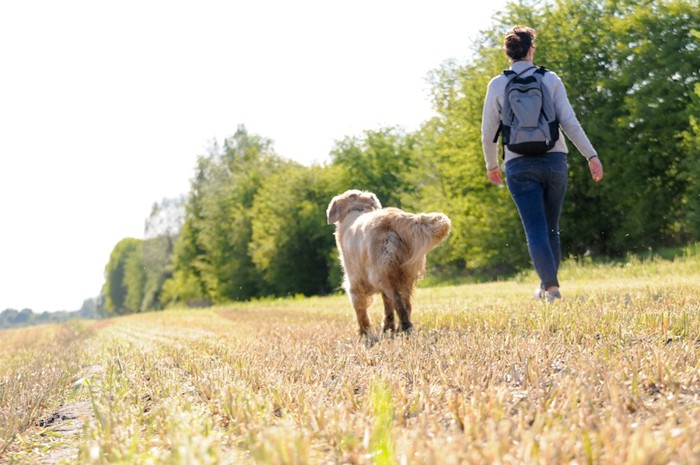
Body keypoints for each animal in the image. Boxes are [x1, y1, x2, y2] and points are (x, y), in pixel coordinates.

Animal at [326, 188, 452, 338]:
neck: (357, 210)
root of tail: (394, 217)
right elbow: (387, 307)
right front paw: (387, 328)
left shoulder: (354, 282)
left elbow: (360, 310)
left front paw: (364, 333)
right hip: (404, 274)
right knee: (406, 304)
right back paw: (400, 329)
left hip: (386, 273)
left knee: (399, 303)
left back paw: (405, 328)